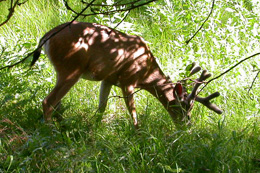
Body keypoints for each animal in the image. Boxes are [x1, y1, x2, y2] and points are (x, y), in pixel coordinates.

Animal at [30, 21, 221, 128]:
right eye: (183, 108)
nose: (187, 126)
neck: (146, 72)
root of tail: (46, 37)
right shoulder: (128, 80)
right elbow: (133, 112)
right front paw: (138, 133)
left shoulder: (107, 78)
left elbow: (102, 107)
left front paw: (95, 129)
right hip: (71, 68)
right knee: (48, 101)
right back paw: (51, 132)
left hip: (64, 70)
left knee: (56, 103)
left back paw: (61, 124)